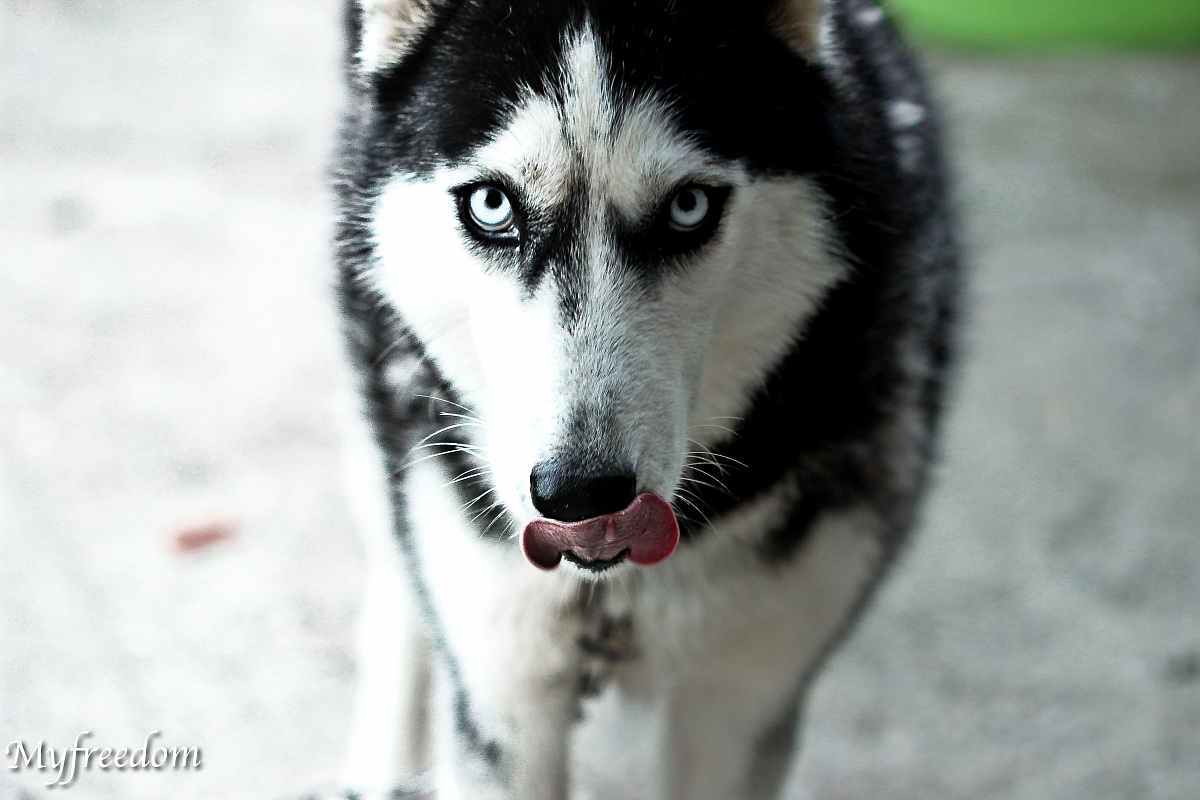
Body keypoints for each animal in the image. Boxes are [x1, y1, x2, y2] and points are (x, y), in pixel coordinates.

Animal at [328, 0, 959, 797]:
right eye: (492, 204)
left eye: (688, 207)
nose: (579, 495)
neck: (612, 592)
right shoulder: (506, 695)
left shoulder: (741, 698)